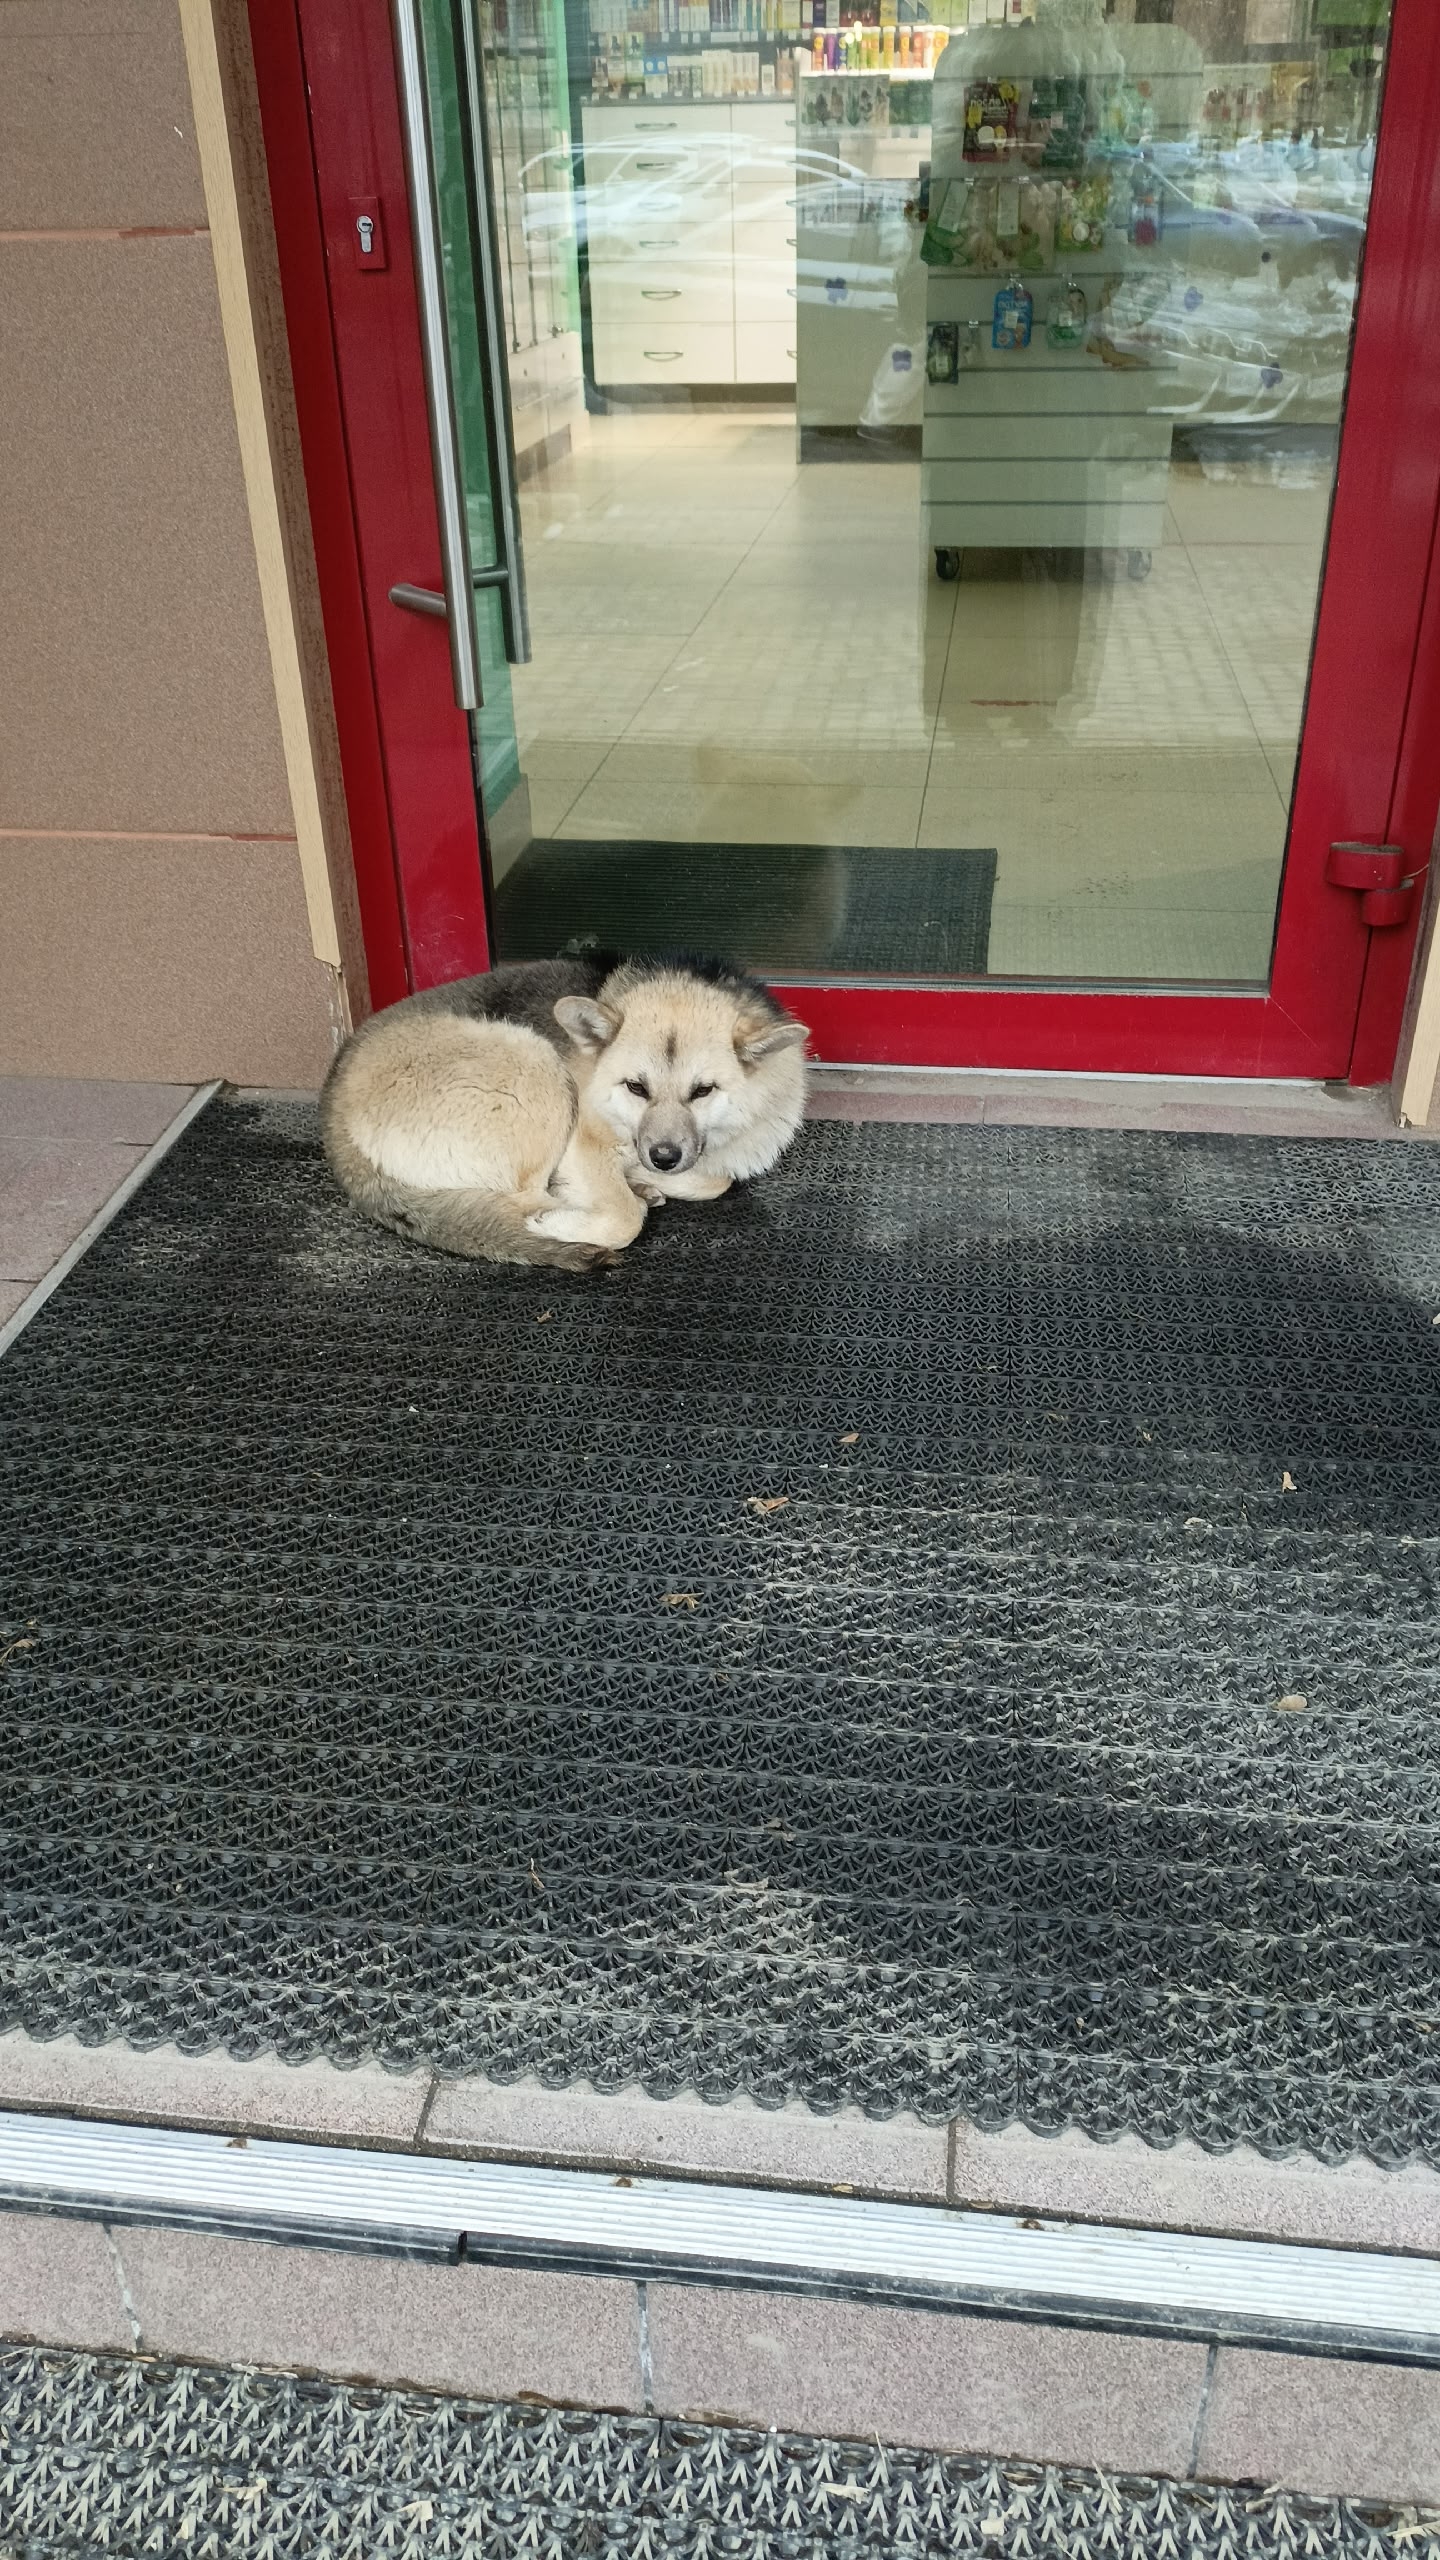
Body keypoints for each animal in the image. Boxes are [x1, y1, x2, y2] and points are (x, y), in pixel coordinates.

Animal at [319, 951, 809, 1273]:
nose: (663, 1158)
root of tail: (333, 1109)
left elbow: (716, 1179)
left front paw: (648, 1176)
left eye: (703, 1091)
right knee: (524, 1201)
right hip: (536, 1064)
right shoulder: (583, 1140)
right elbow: (625, 1215)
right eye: (636, 1087)